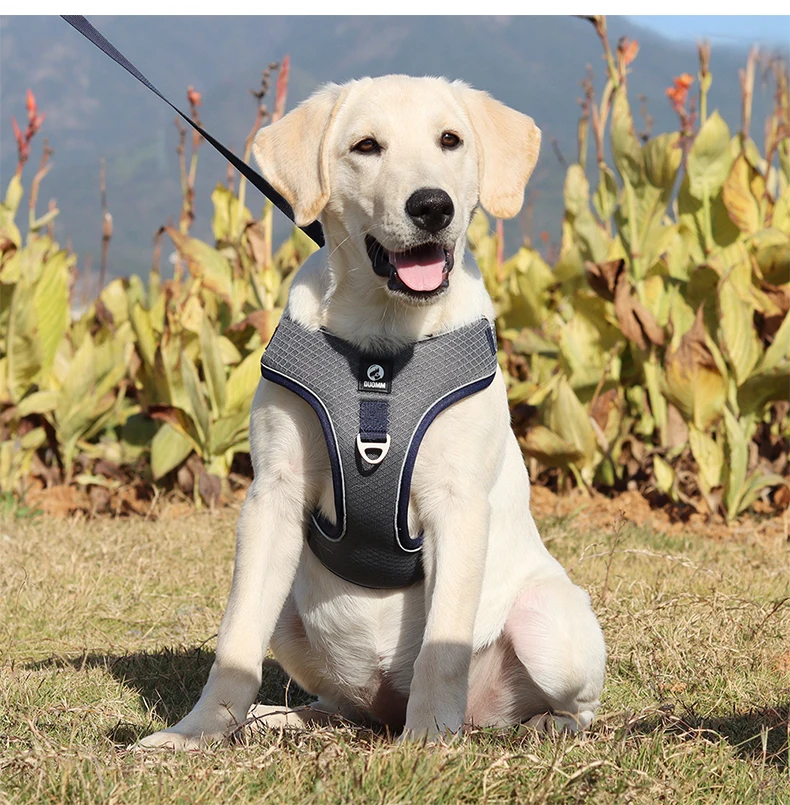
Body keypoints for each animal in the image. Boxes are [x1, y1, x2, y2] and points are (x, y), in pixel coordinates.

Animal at [138, 75, 606, 749]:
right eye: (366, 146)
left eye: (450, 140)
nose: (432, 206)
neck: (382, 348)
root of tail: (386, 703)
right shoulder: (272, 497)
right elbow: (235, 640)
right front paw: (197, 733)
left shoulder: (458, 505)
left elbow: (443, 647)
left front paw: (429, 743)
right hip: (292, 616)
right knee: (338, 703)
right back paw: (283, 716)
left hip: (551, 625)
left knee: (567, 708)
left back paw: (533, 726)